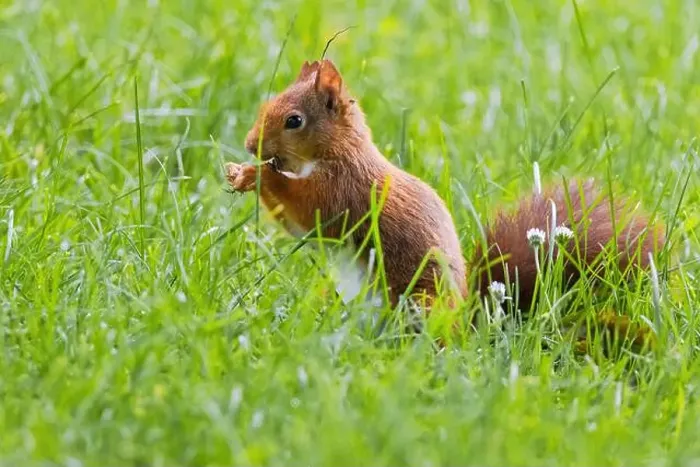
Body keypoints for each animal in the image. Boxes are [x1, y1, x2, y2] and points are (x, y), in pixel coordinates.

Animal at [225, 59, 665, 339]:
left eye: (294, 120)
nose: (249, 145)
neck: (339, 152)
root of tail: (468, 327)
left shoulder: (343, 190)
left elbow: (308, 210)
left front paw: (260, 174)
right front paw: (242, 174)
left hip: (420, 300)